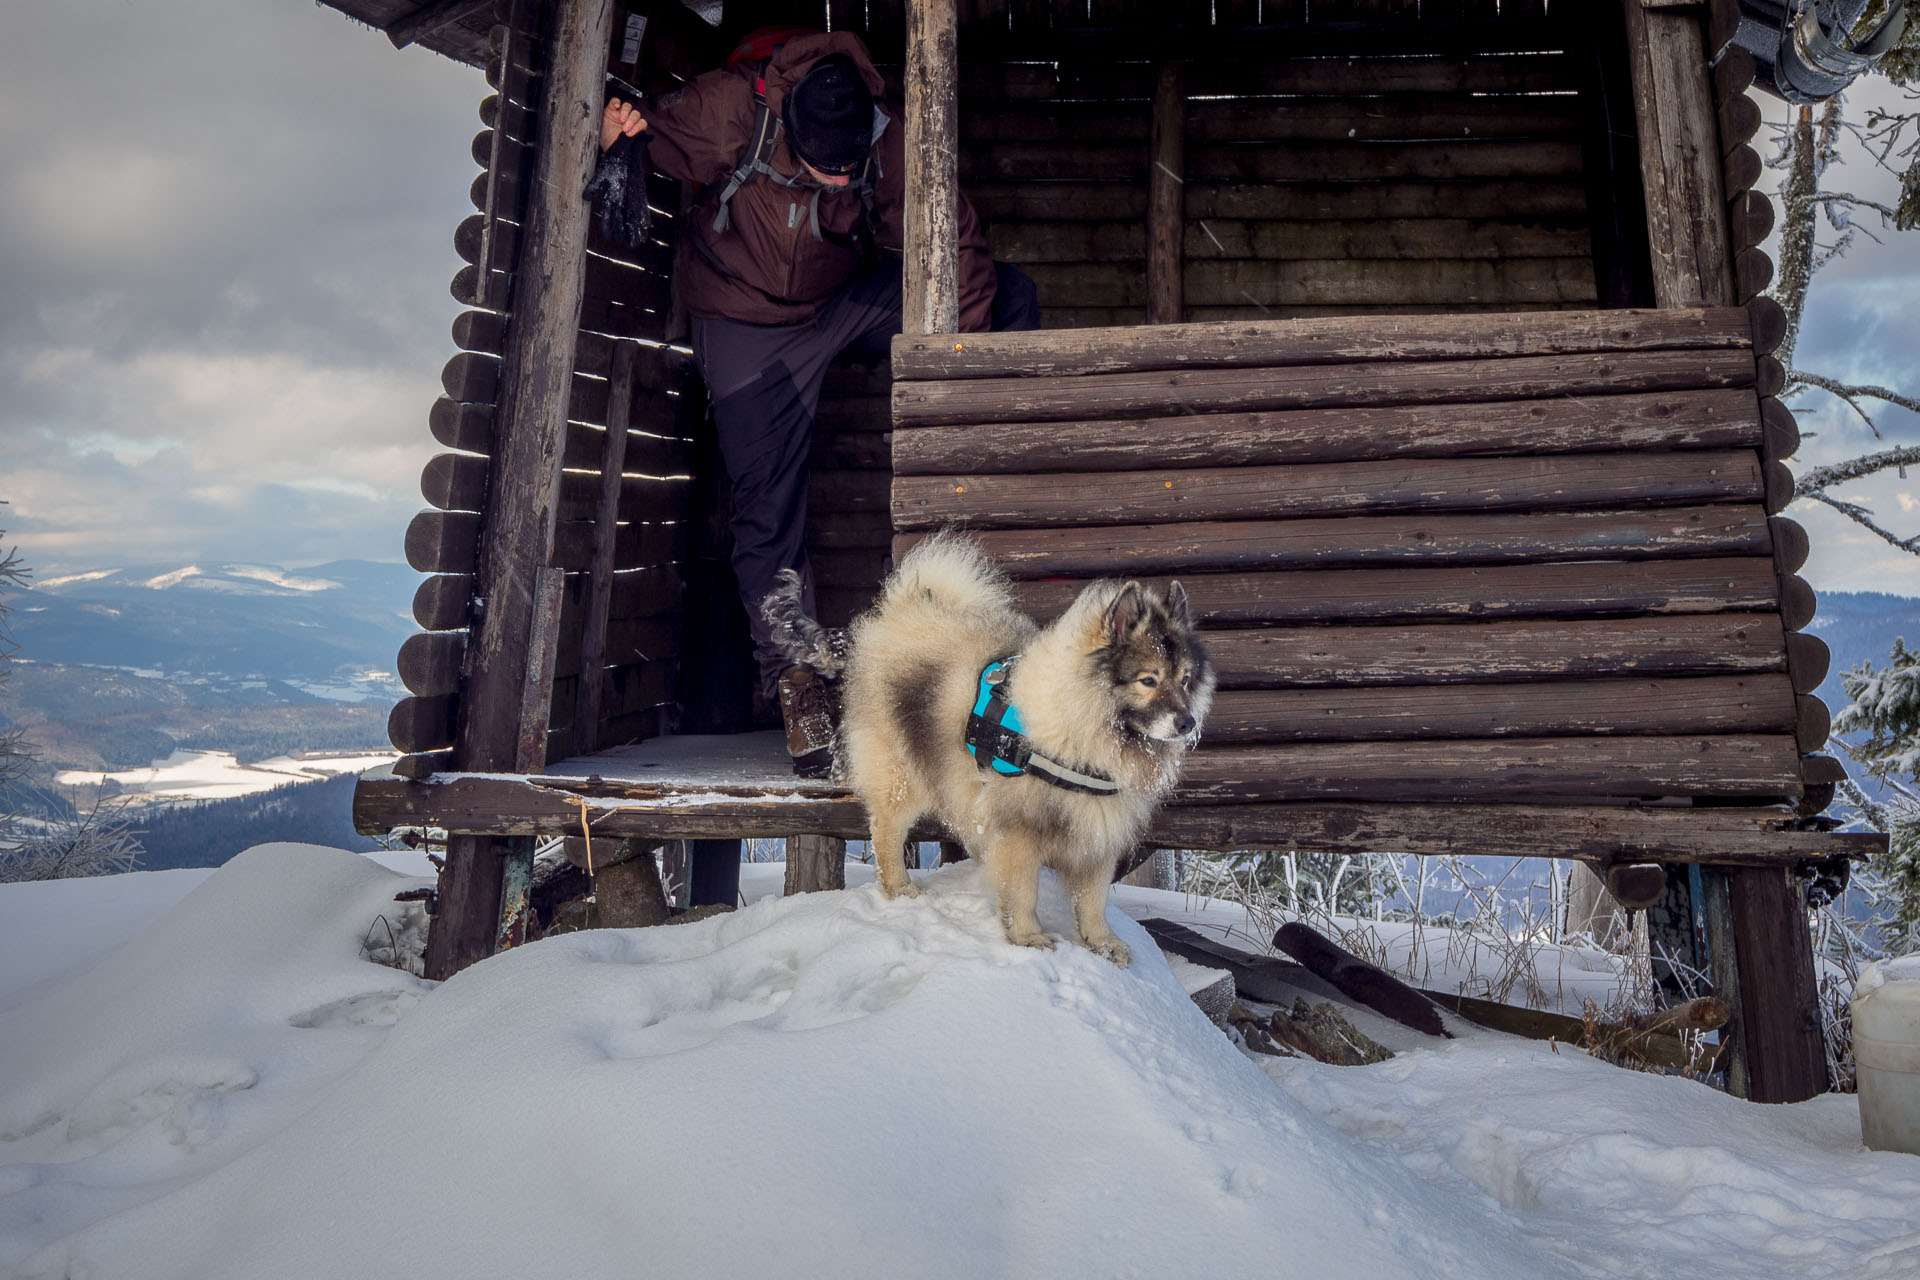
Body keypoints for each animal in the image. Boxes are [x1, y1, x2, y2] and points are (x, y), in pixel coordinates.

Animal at [756, 529, 1205, 959]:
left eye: (1184, 680)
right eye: (1148, 680)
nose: (1188, 722)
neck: (1076, 728)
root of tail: (893, 616)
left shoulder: (1096, 833)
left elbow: (1093, 900)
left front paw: (1102, 942)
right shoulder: (1019, 830)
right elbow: (1023, 891)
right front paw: (1027, 937)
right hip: (902, 776)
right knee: (886, 832)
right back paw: (898, 889)